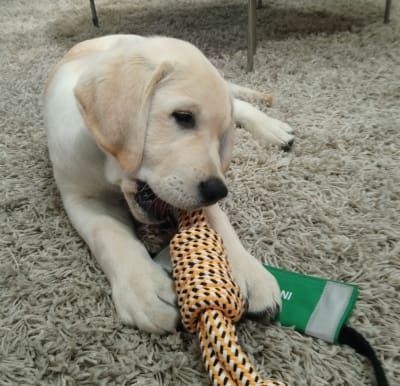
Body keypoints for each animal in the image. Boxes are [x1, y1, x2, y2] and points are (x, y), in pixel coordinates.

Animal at [43, 34, 294, 334]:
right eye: (183, 117)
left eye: (221, 136)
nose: (217, 191)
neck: (109, 164)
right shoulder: (82, 198)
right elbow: (109, 235)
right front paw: (145, 289)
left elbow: (220, 224)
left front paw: (247, 270)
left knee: (239, 103)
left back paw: (271, 127)